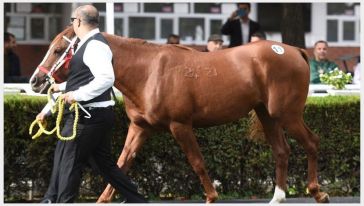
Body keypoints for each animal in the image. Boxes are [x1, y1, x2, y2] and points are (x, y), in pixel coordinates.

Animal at [29, 26, 328, 204]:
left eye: (58, 49)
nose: (36, 82)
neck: (148, 71)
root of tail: (294, 50)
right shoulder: (140, 127)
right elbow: (122, 163)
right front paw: (104, 198)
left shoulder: (180, 125)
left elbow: (197, 162)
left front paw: (211, 196)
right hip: (267, 115)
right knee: (282, 151)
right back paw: (278, 197)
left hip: (287, 114)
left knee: (312, 142)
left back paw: (317, 191)